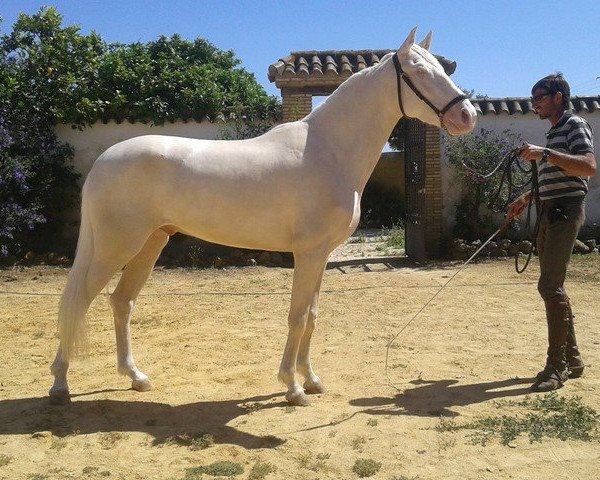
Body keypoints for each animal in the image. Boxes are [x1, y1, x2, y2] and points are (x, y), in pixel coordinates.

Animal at [49, 28, 476, 404]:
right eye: (420, 72)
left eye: (442, 69)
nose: (467, 116)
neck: (327, 151)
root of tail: (105, 160)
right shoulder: (307, 254)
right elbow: (297, 317)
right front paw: (292, 387)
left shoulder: (321, 256)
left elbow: (312, 316)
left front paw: (312, 380)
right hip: (115, 247)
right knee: (79, 301)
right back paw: (60, 385)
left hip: (150, 243)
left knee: (122, 302)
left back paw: (135, 377)